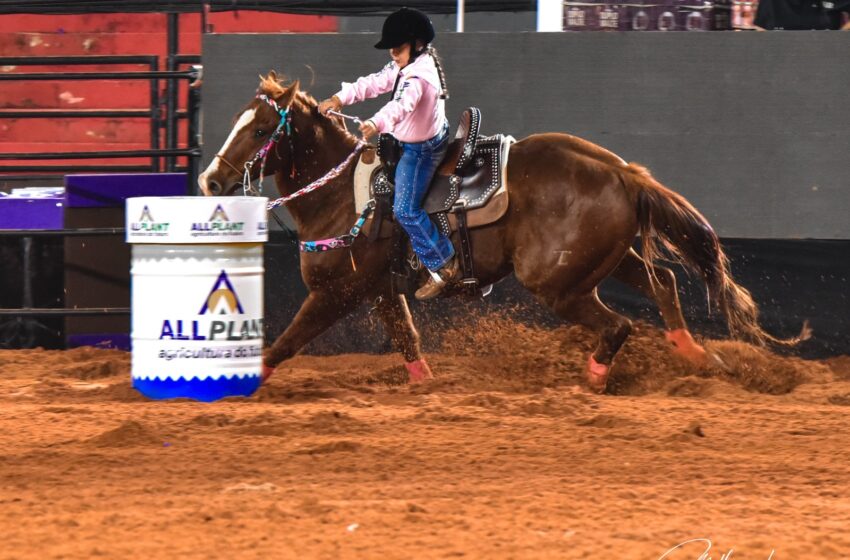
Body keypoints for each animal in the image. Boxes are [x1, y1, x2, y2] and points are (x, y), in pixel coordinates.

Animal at [197, 72, 800, 392]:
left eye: (259, 130)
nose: (209, 180)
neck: (344, 196)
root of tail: (621, 171)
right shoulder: (382, 292)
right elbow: (407, 341)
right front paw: (428, 386)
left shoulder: (336, 292)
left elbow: (288, 341)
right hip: (606, 258)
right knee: (664, 285)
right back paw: (696, 357)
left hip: (558, 284)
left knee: (620, 324)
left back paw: (592, 381)